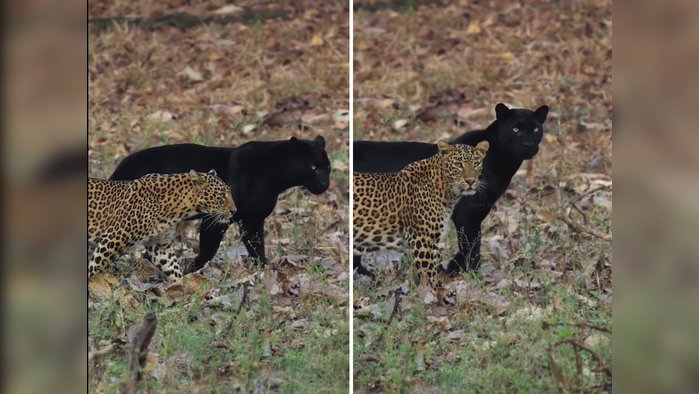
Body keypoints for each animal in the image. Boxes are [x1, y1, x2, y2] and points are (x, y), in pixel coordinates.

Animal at [86, 168, 235, 282]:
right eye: (222, 196)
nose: (235, 210)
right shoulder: (112, 239)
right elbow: (96, 267)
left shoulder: (160, 247)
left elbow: (174, 269)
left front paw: (183, 288)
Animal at [352, 140, 490, 290]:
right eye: (458, 164)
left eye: (476, 163)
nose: (470, 181)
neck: (447, 192)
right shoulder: (423, 241)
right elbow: (430, 277)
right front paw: (435, 294)